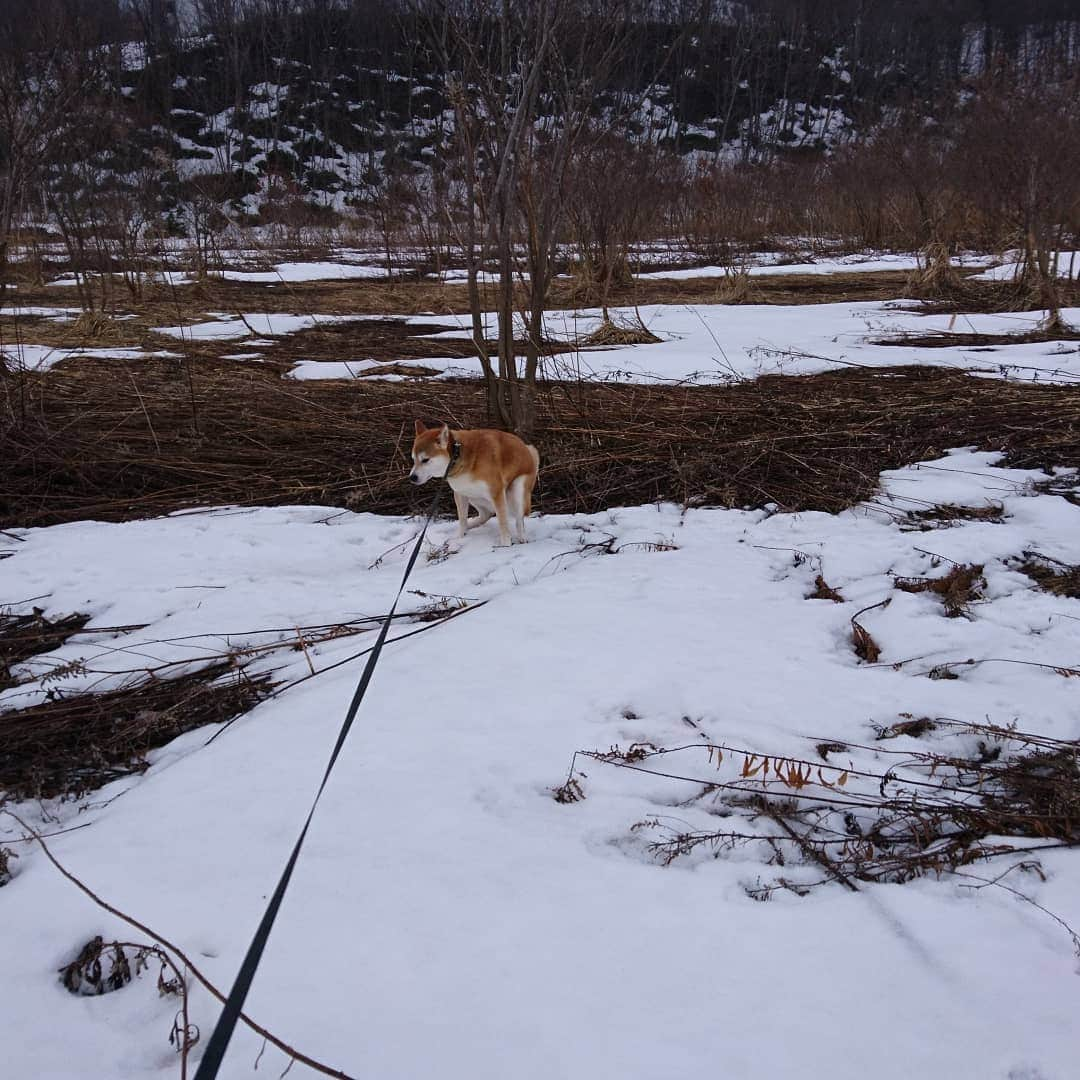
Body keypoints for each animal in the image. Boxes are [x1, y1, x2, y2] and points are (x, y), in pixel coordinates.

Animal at [408, 419, 540, 544]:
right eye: (413, 459)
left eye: (425, 460)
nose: (412, 477)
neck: (457, 456)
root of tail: (528, 450)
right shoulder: (460, 494)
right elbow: (462, 520)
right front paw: (459, 537)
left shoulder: (496, 492)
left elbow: (503, 523)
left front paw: (505, 544)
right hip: (473, 495)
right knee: (485, 514)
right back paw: (470, 525)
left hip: (516, 491)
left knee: (519, 520)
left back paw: (522, 537)